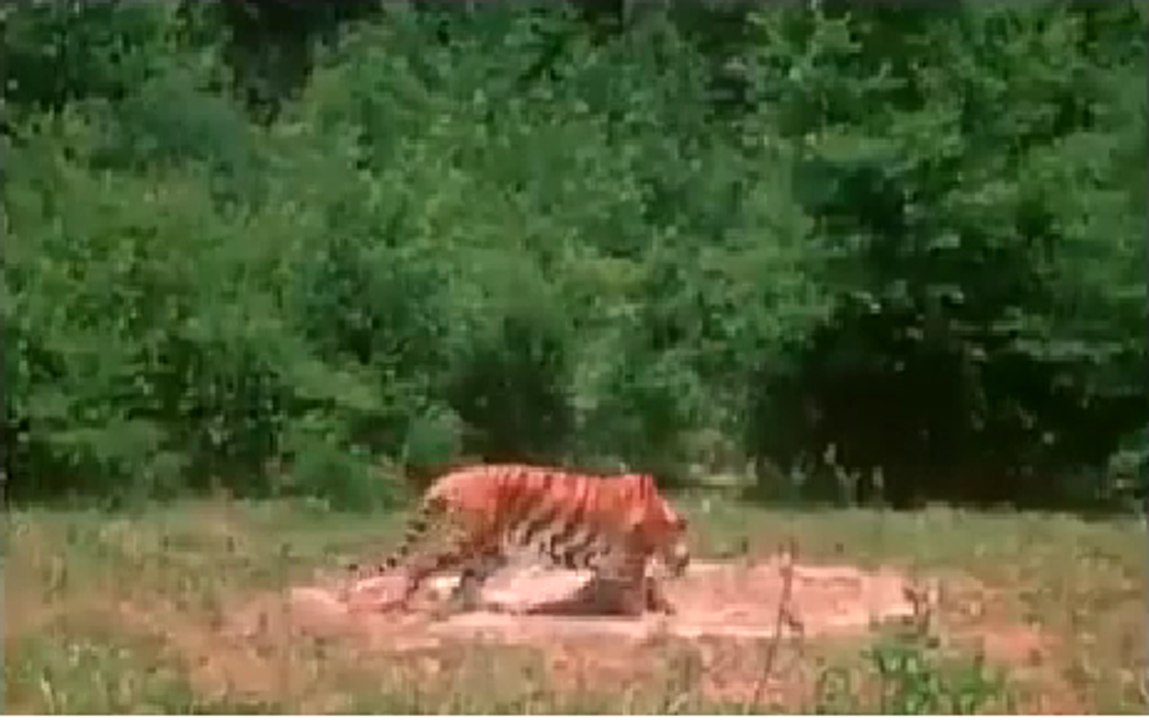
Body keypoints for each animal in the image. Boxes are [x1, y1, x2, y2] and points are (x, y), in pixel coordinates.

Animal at [344, 463, 691, 617]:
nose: (684, 567)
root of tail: (448, 478)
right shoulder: (630, 556)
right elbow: (639, 583)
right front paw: (642, 612)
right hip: (467, 542)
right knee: (419, 564)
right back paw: (406, 605)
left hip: (491, 552)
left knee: (467, 582)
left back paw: (491, 609)